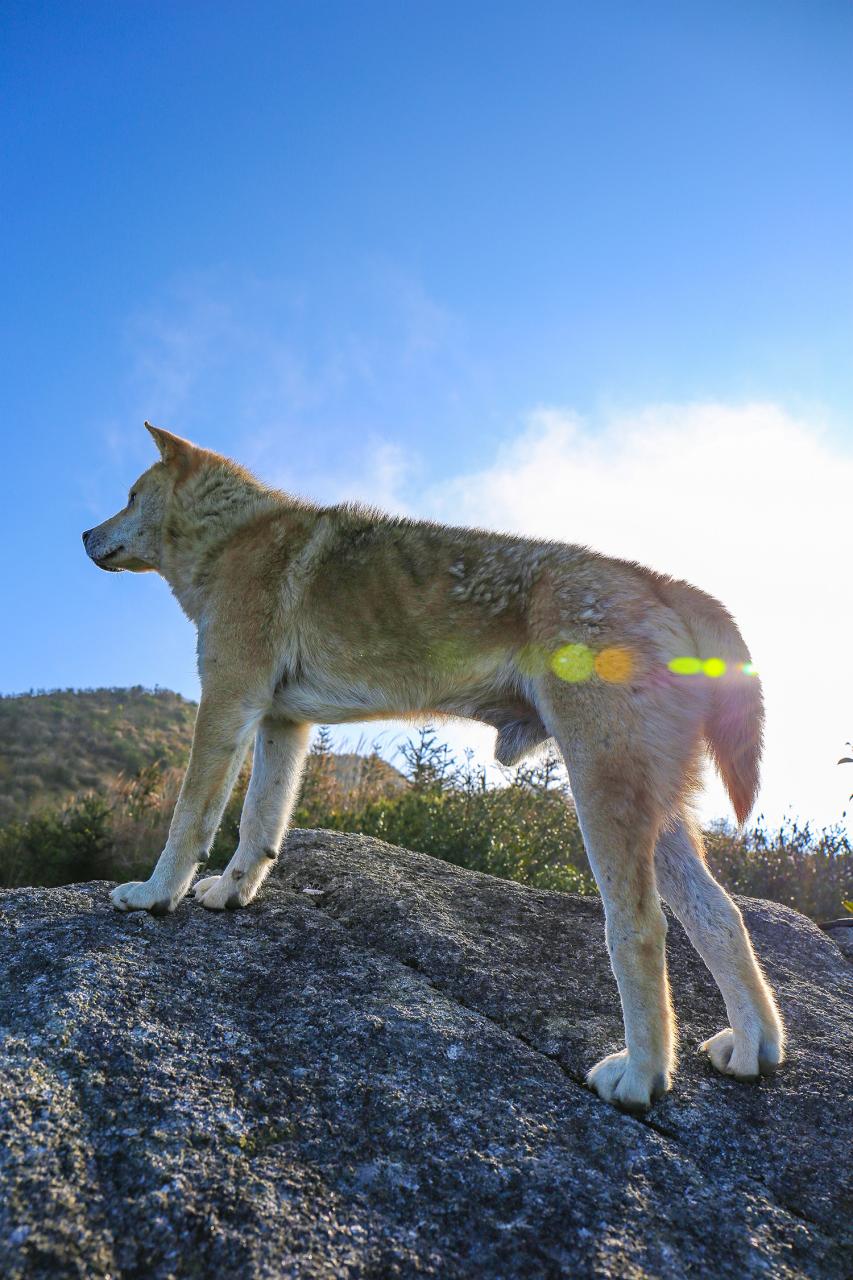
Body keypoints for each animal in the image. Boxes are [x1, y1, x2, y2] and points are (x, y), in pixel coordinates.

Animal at [83, 424, 778, 1105]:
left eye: (129, 495)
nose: (84, 534)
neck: (232, 534)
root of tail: (658, 579)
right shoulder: (282, 724)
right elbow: (259, 828)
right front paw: (231, 892)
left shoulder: (227, 703)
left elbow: (189, 821)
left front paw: (153, 895)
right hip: (657, 812)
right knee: (723, 915)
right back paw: (752, 1050)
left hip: (602, 793)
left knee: (640, 927)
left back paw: (640, 1077)